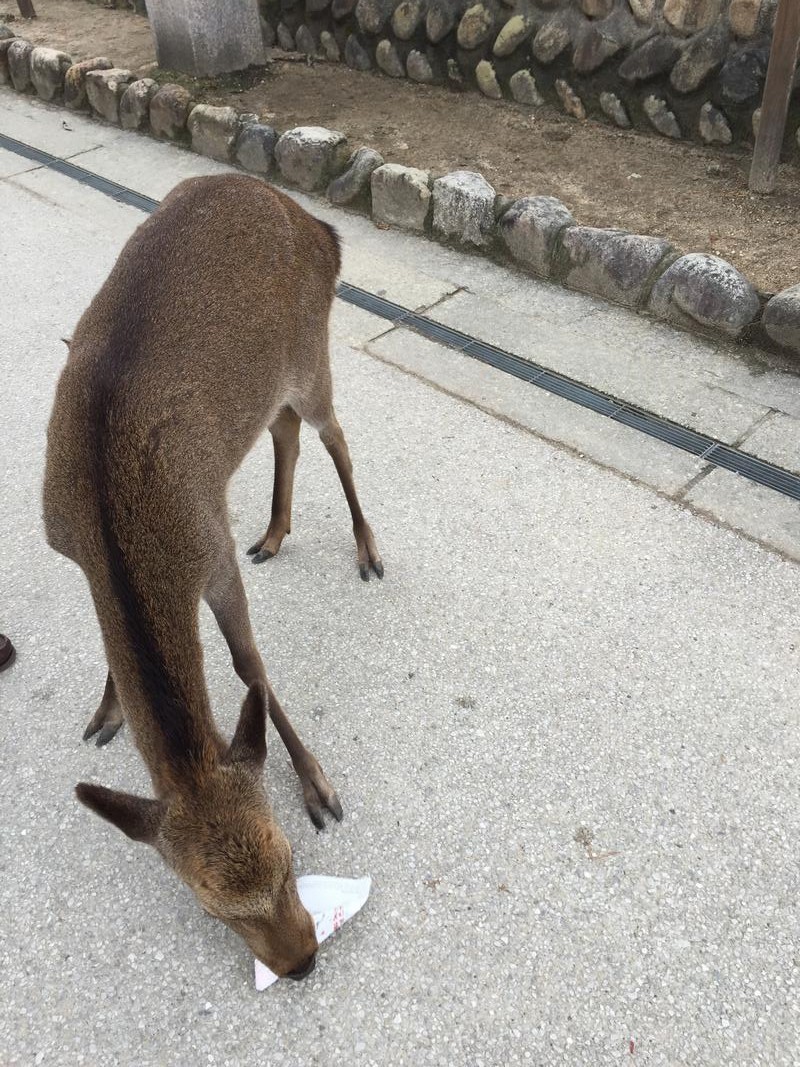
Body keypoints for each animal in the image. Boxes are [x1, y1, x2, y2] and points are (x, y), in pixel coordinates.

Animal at [42, 173, 383, 981]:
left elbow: (248, 664)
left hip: (312, 352)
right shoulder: (71, 550)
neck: (114, 536)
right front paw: (106, 709)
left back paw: (367, 548)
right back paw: (273, 532)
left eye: (290, 861)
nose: (302, 962)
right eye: (211, 906)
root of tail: (319, 226)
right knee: (283, 429)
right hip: (274, 383)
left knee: (334, 434)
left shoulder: (210, 552)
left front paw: (318, 785)